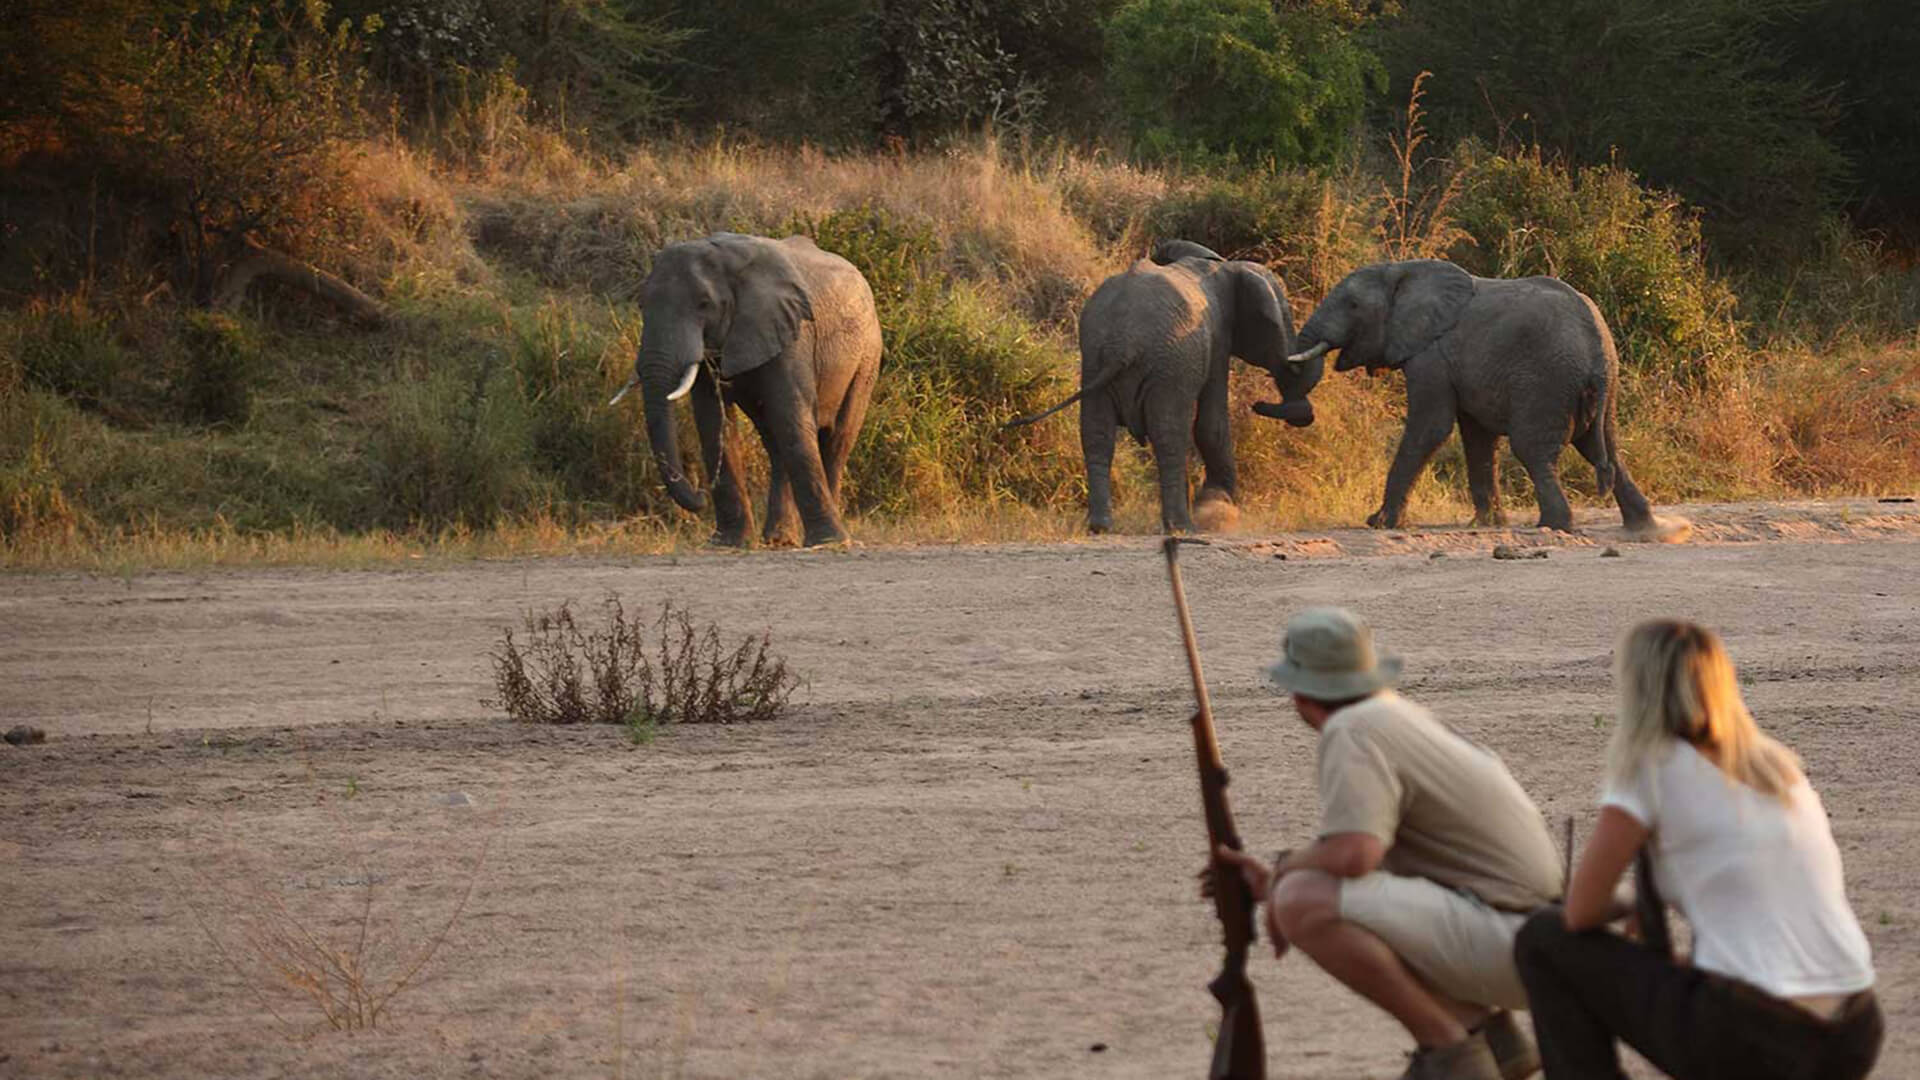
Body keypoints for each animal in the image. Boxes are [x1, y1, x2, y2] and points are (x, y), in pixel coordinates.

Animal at [606, 230, 883, 541]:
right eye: (641, 305)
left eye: (704, 304)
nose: (700, 495)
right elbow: (713, 422)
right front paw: (727, 543)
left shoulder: (792, 334)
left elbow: (791, 417)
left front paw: (826, 541)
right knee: (775, 442)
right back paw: (778, 539)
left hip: (866, 357)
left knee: (837, 438)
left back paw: (831, 537)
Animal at [1006, 240, 1320, 534]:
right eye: (1285, 320)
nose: (1258, 404)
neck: (1222, 265)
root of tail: (1122, 343)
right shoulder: (1219, 337)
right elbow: (1211, 424)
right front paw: (1217, 507)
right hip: (1167, 366)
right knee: (1169, 434)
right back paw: (1182, 526)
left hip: (1095, 358)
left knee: (1097, 434)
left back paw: (1100, 526)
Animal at [1267, 257, 1658, 534]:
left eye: (1352, 306)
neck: (1403, 270)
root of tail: (1597, 345)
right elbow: (1477, 437)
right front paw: (1486, 525)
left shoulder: (1431, 354)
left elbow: (1431, 428)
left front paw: (1378, 523)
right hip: (1598, 389)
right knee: (1604, 448)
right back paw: (1643, 528)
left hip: (1546, 382)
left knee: (1532, 449)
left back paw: (1553, 526)